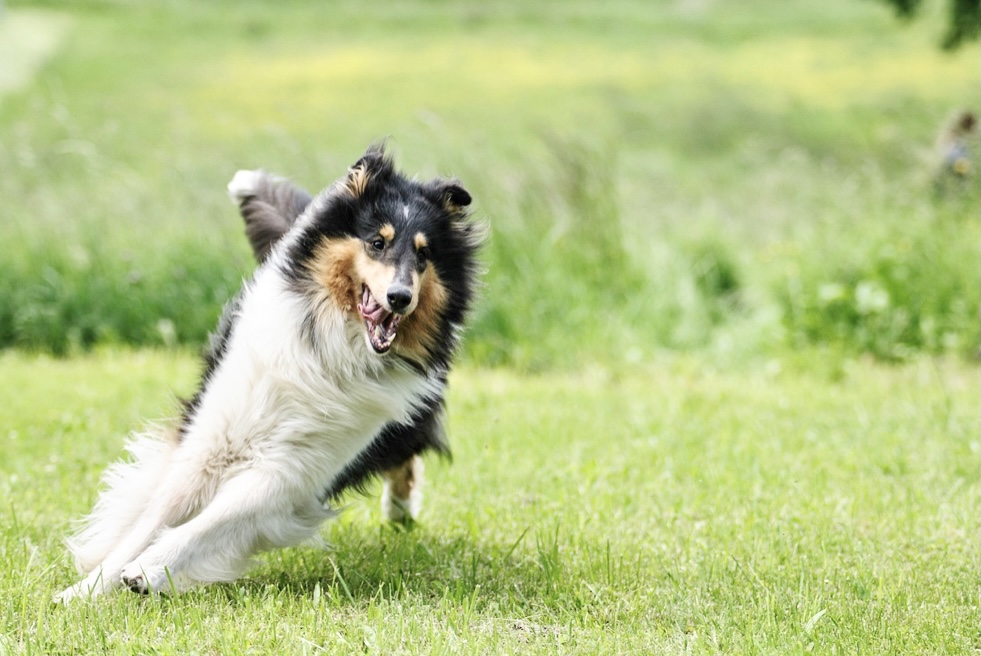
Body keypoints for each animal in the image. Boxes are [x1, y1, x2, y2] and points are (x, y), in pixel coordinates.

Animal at [53, 146, 482, 604]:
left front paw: (147, 570)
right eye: (377, 242)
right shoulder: (210, 443)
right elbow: (152, 518)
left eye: (423, 254)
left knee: (407, 453)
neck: (330, 350)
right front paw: (83, 591)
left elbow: (210, 521)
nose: (400, 298)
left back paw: (400, 511)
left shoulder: (292, 472)